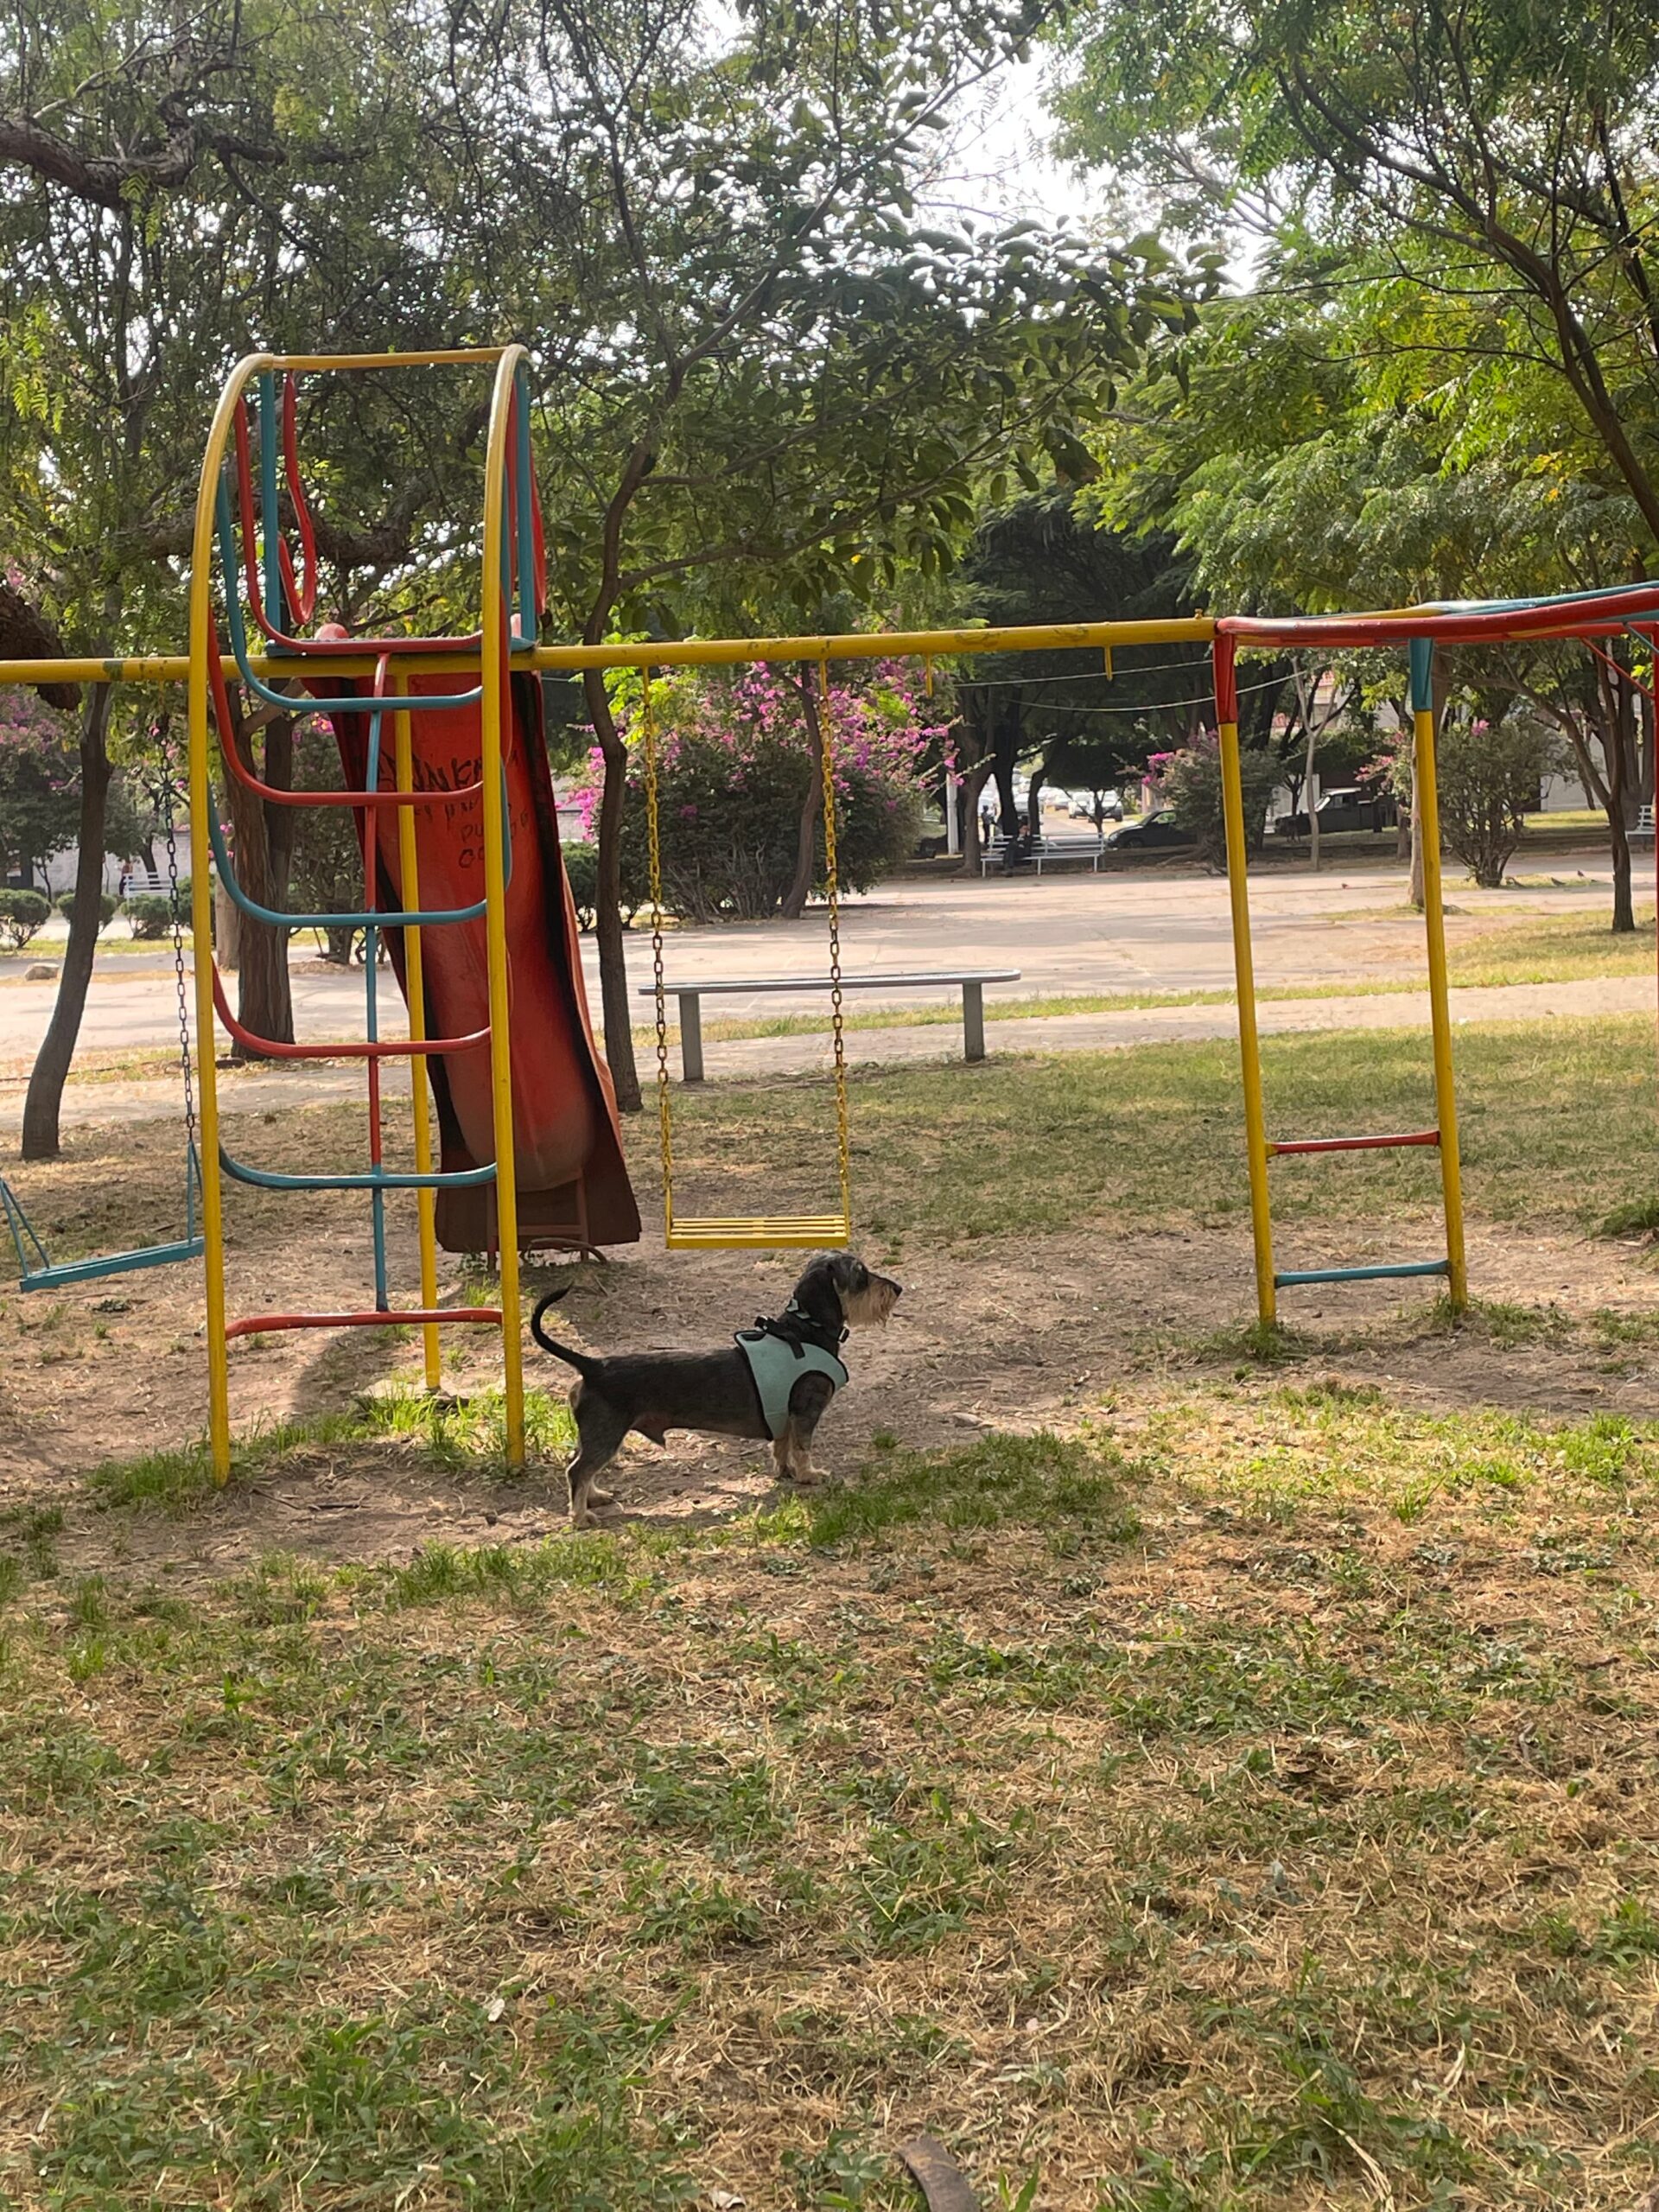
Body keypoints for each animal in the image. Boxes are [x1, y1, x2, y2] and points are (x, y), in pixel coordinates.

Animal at [532, 1256, 902, 1530]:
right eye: (861, 1274)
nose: (897, 1288)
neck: (803, 1333)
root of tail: (594, 1365)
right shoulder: (806, 1411)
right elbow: (802, 1447)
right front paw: (810, 1475)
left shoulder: (785, 1416)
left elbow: (782, 1446)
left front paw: (786, 1471)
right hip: (607, 1434)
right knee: (578, 1470)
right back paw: (581, 1516)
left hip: (596, 1434)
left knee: (581, 1466)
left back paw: (594, 1497)